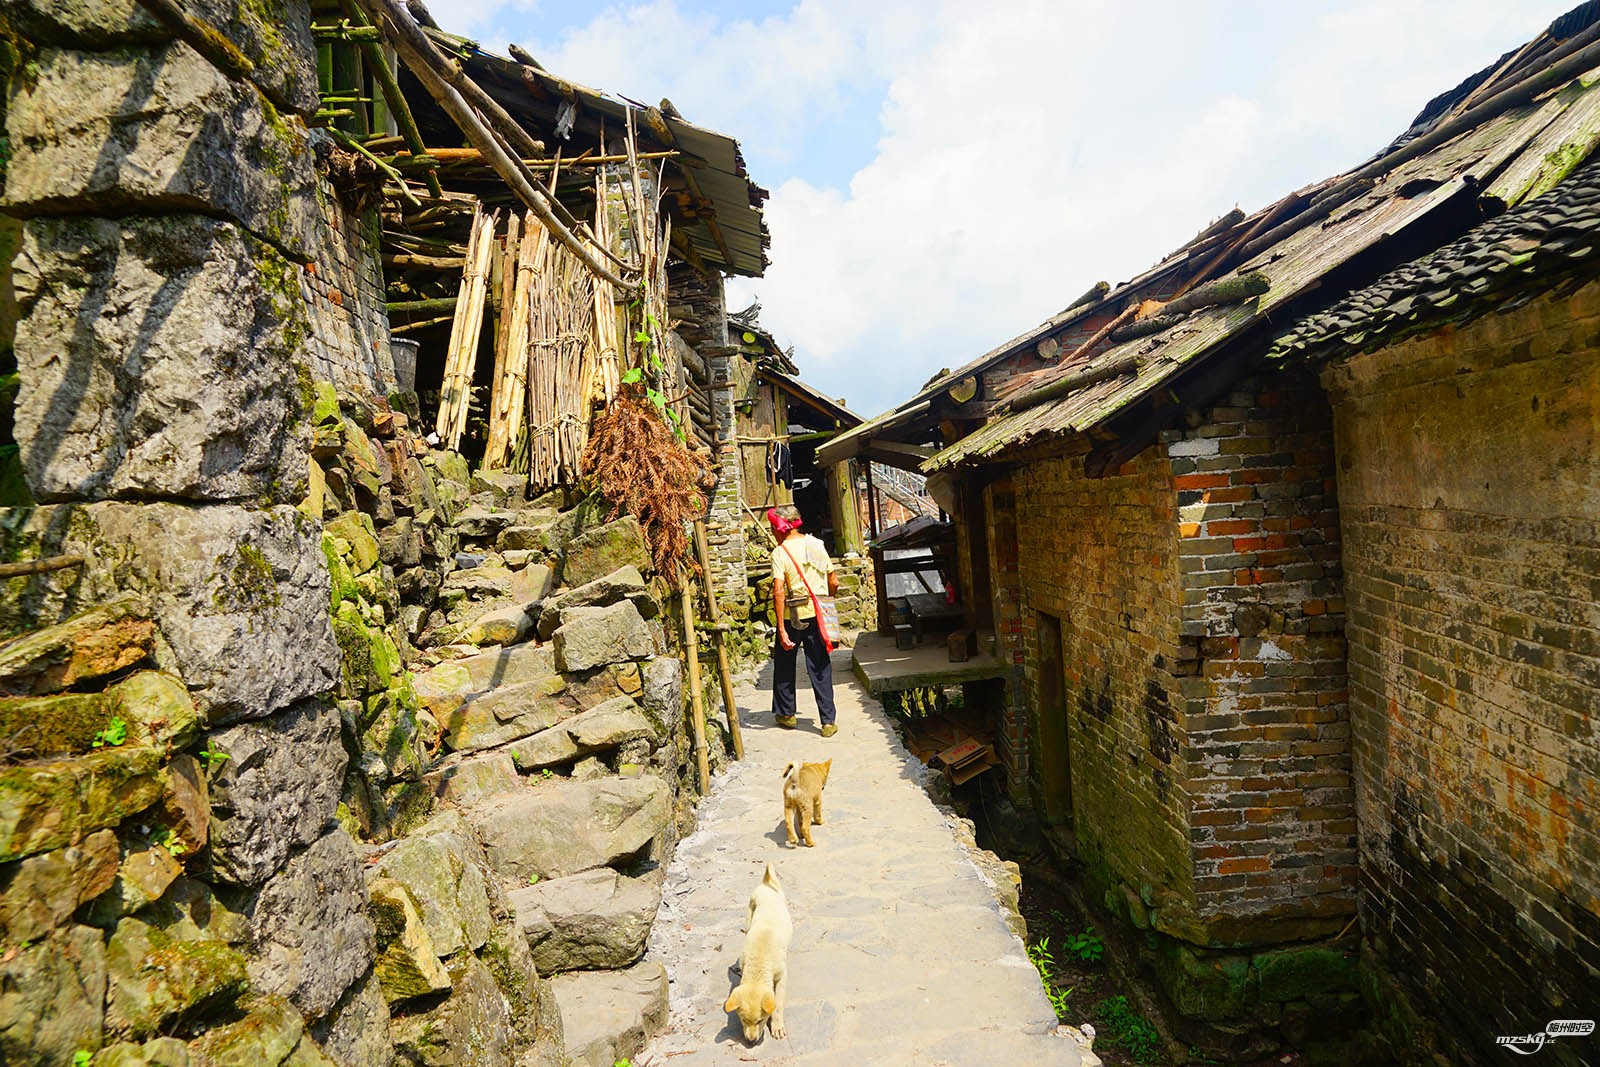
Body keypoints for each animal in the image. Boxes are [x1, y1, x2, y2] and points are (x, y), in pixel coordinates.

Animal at [723, 857, 790, 1043]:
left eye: (760, 1020)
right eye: (743, 1020)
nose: (751, 1041)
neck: (759, 962)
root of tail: (765, 885)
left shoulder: (782, 977)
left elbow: (778, 1004)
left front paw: (777, 1026)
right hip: (748, 917)